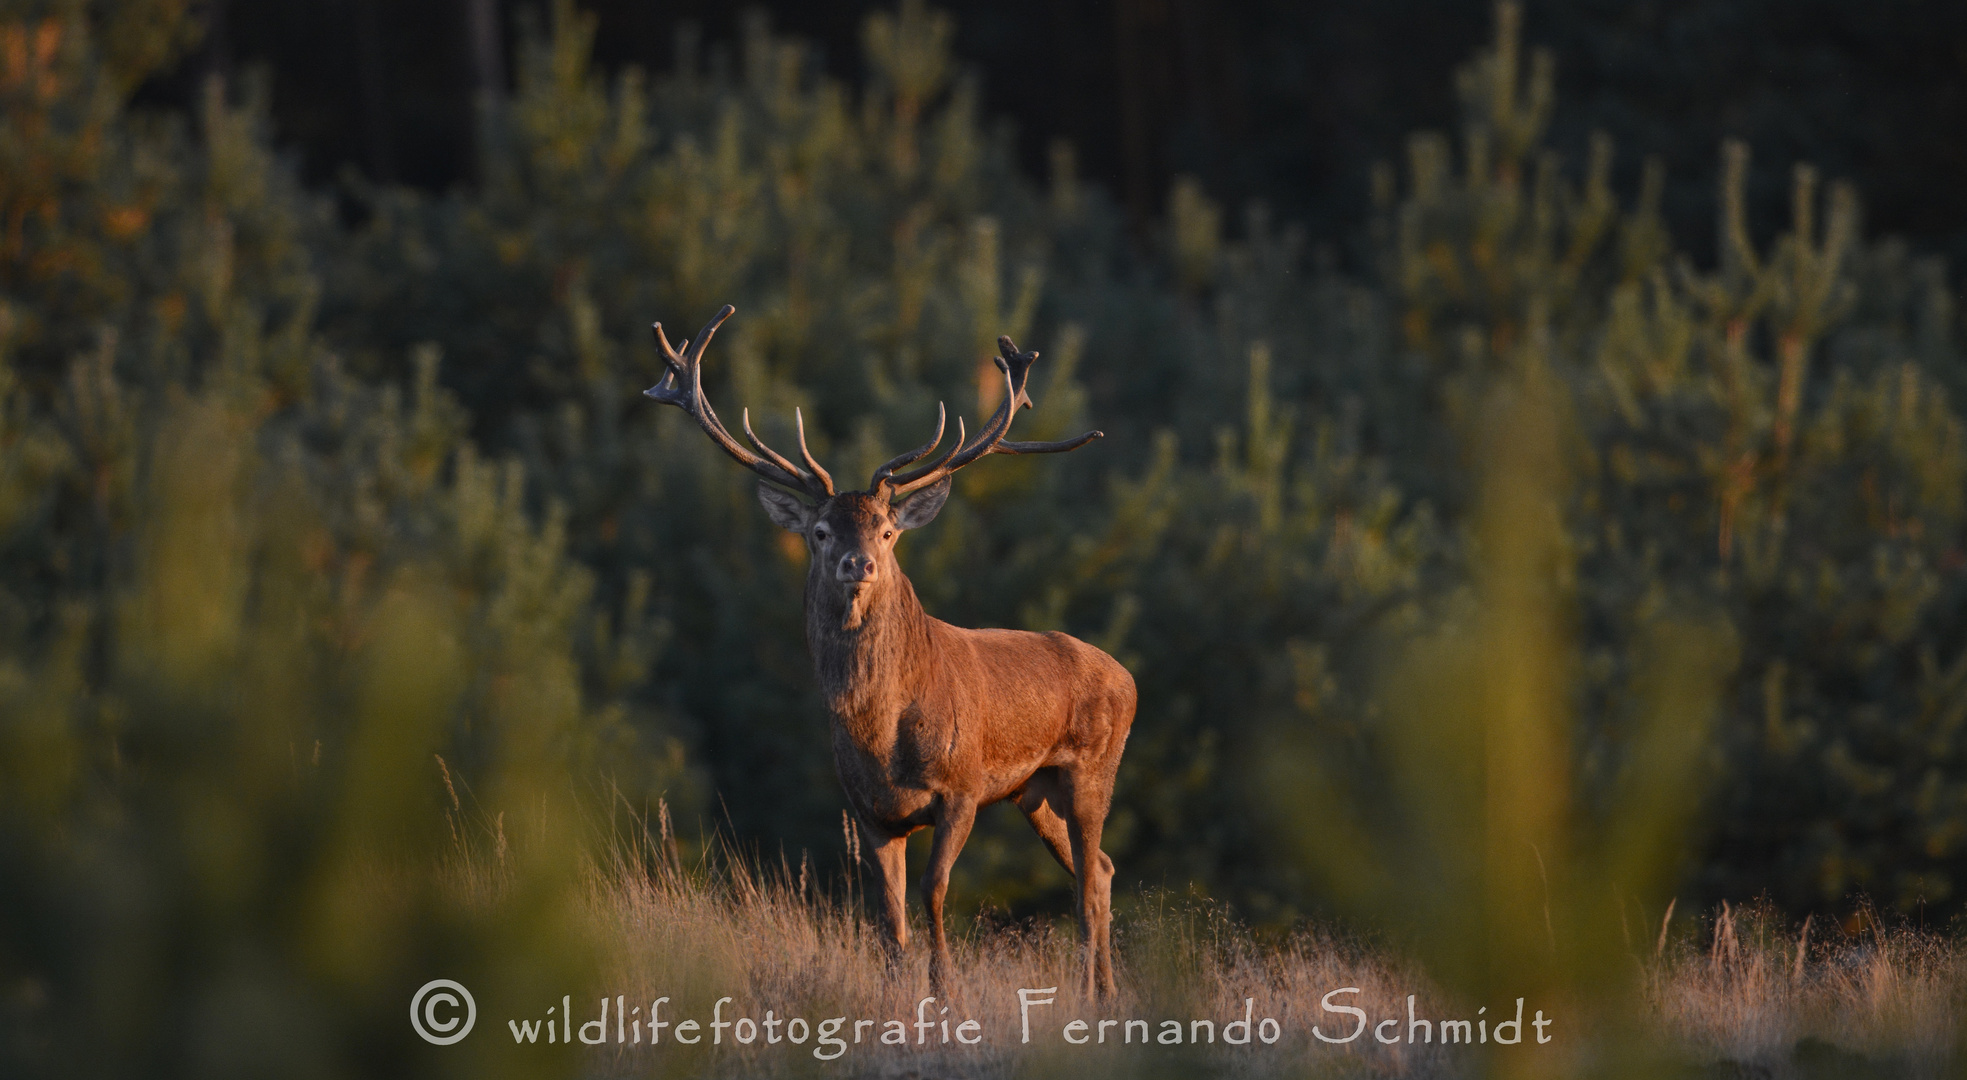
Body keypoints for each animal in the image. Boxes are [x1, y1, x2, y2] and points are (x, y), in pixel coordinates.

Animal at [645, 300, 1140, 995]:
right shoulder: (871, 813)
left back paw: (1101, 995)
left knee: (1091, 878)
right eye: (821, 530)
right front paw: (896, 994)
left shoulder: (962, 786)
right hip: (1035, 791)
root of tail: (1127, 677)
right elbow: (888, 915)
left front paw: (945, 992)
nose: (859, 563)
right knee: (1100, 870)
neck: (882, 733)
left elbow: (933, 892)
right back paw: (1102, 991)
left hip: (1095, 766)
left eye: (886, 529)